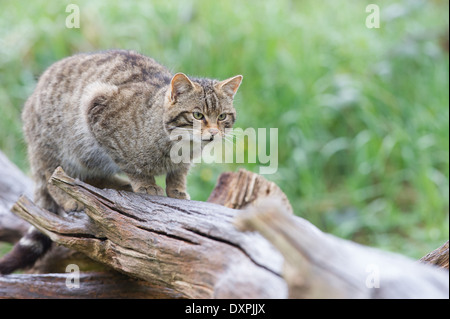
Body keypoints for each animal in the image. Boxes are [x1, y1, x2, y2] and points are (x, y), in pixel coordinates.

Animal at [0, 50, 243, 276]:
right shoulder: (97, 110)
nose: (214, 133)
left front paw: (177, 189)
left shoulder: (184, 160)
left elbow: (179, 172)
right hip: (58, 148)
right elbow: (130, 163)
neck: (179, 145)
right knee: (53, 176)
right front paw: (145, 184)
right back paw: (71, 198)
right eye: (197, 115)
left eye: (222, 117)